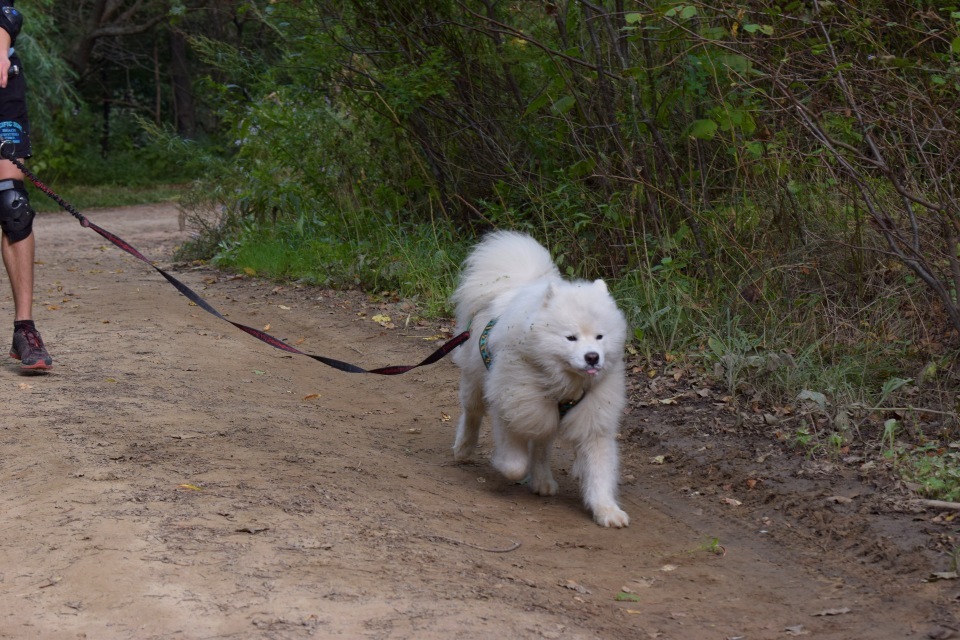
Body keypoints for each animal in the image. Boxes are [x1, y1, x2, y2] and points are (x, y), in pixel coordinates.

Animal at [452, 232, 632, 528]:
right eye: (570, 338)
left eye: (600, 337)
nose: (593, 357)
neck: (564, 384)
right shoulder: (513, 405)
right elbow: (514, 463)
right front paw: (507, 467)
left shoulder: (593, 420)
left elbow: (599, 470)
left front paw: (607, 510)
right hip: (477, 381)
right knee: (472, 413)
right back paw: (463, 449)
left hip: (544, 412)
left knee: (541, 446)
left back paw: (543, 481)